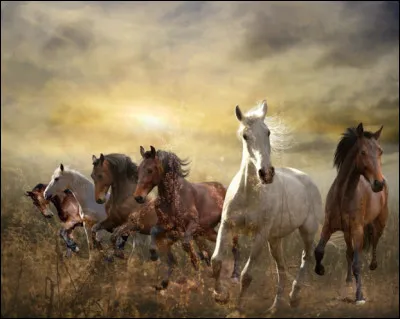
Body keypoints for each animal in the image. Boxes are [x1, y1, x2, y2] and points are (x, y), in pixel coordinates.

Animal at [134, 146, 241, 292]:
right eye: (138, 170)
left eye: (150, 170)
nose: (138, 197)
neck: (173, 198)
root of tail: (224, 188)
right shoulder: (167, 226)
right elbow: (154, 231)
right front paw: (154, 255)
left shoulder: (191, 224)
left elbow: (186, 244)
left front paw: (196, 263)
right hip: (206, 232)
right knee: (214, 245)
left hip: (227, 224)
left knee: (235, 246)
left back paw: (234, 276)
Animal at [211, 100, 324, 318]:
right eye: (245, 136)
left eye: (268, 132)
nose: (266, 174)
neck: (249, 193)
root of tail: (307, 179)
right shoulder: (227, 226)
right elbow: (216, 261)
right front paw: (221, 296)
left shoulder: (260, 234)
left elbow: (246, 275)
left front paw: (238, 308)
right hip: (275, 240)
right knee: (282, 269)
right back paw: (275, 307)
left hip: (307, 230)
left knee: (306, 257)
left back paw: (294, 297)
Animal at [314, 124, 390, 306]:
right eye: (362, 152)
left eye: (380, 151)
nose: (378, 184)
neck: (344, 196)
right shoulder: (329, 226)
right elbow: (319, 250)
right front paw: (320, 269)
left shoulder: (357, 230)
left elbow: (357, 263)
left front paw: (360, 296)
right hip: (347, 232)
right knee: (348, 253)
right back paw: (348, 280)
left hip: (379, 223)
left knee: (374, 242)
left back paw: (373, 265)